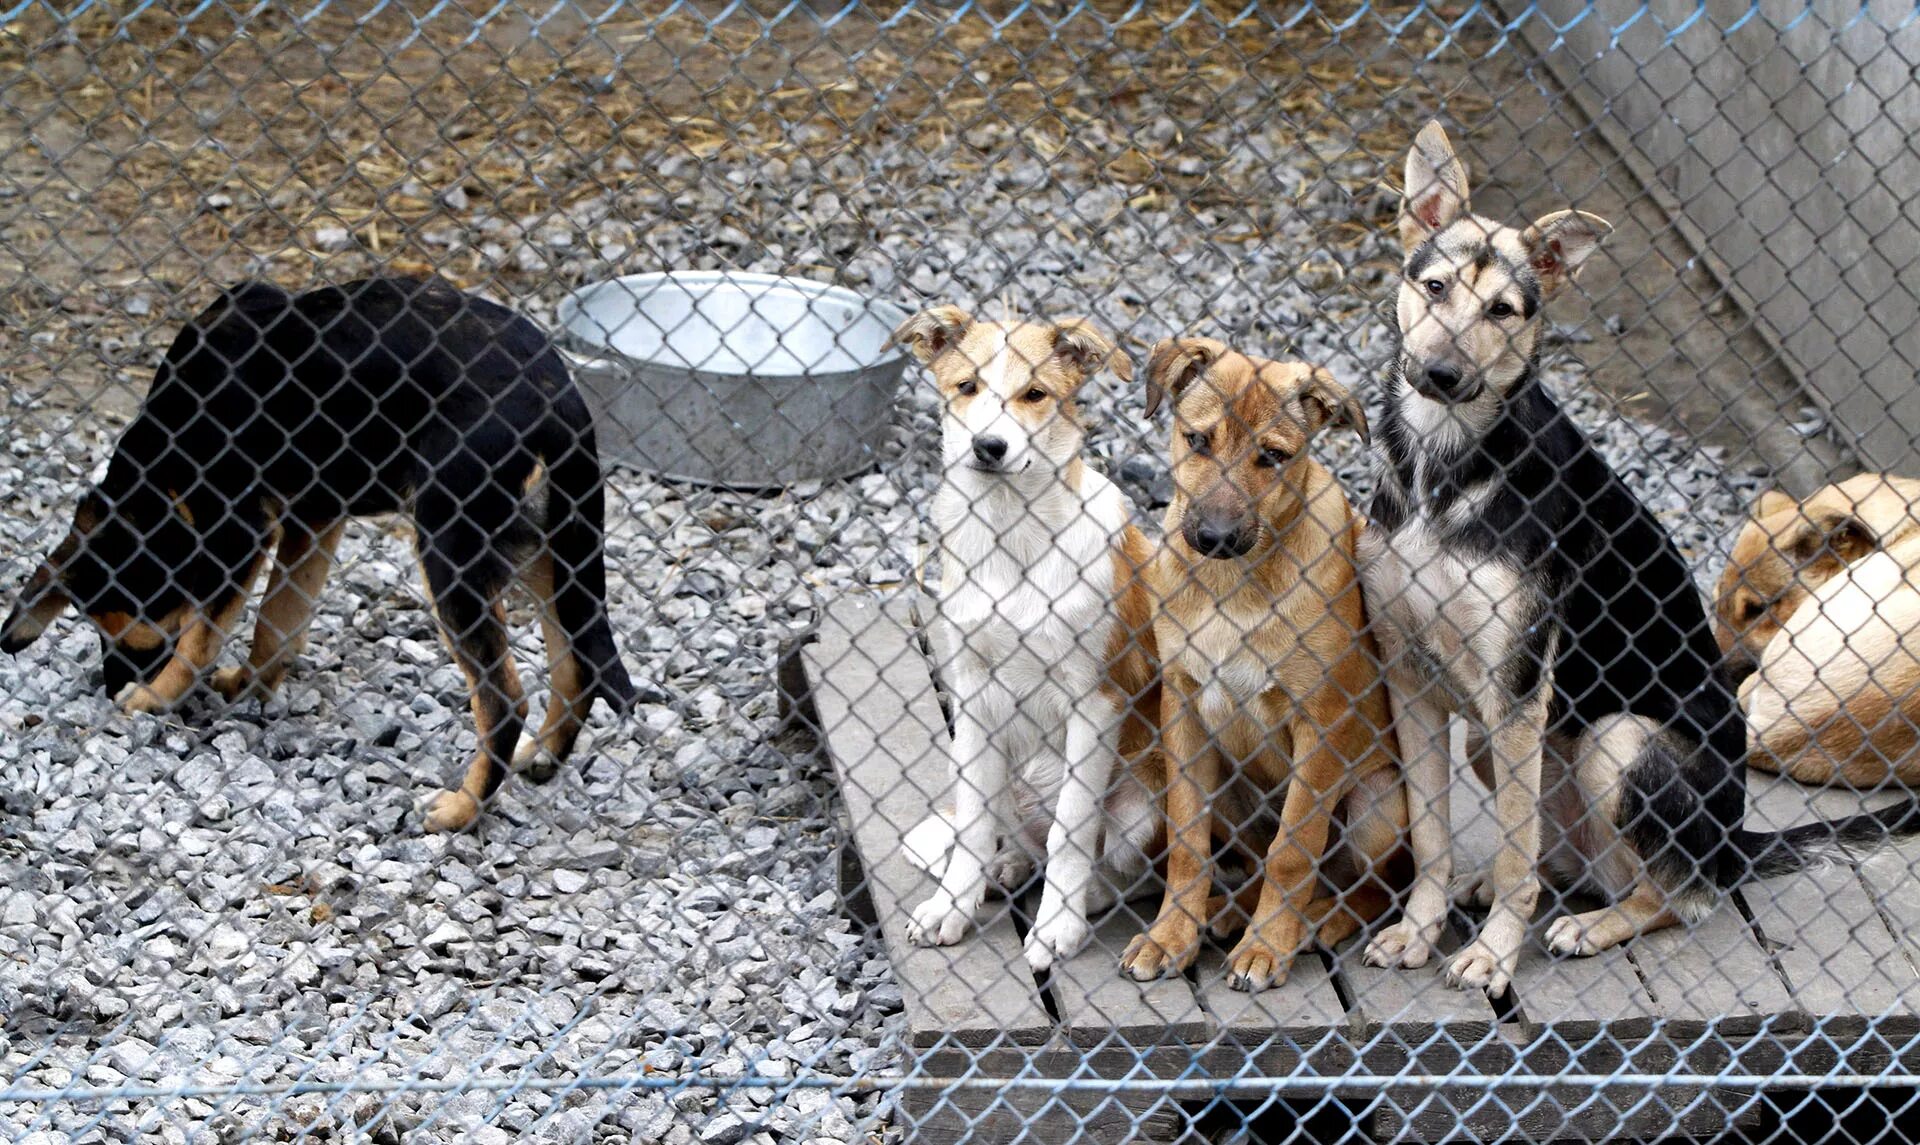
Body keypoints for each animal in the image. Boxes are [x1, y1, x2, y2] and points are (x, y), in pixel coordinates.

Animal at [1, 276, 637, 833]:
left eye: (132, 637)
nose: (108, 689)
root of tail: (557, 400)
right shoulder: (314, 516)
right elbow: (277, 622)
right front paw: (248, 685)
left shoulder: (240, 531)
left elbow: (200, 638)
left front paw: (155, 696)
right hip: (551, 551)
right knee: (575, 664)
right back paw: (544, 758)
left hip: (451, 552)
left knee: (503, 700)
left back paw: (461, 810)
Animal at [890, 305, 1159, 975]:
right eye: (967, 387)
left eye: (1034, 395)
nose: (989, 447)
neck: (1012, 536)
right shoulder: (974, 699)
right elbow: (971, 824)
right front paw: (951, 906)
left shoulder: (1097, 702)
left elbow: (1071, 830)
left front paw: (1057, 925)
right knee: (1007, 832)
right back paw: (1004, 866)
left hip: (1145, 805)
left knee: (1125, 872)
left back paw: (1082, 900)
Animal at [1121, 336, 1405, 991]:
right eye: (1198, 440)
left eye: (1273, 457)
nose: (1215, 537)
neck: (1235, 586)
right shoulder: (1184, 709)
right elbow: (1188, 842)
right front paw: (1171, 936)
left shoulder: (1320, 724)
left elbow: (1292, 849)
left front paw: (1268, 946)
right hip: (1229, 787)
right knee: (1254, 861)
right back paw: (1227, 911)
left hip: (1379, 802)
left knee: (1372, 887)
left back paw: (1314, 922)